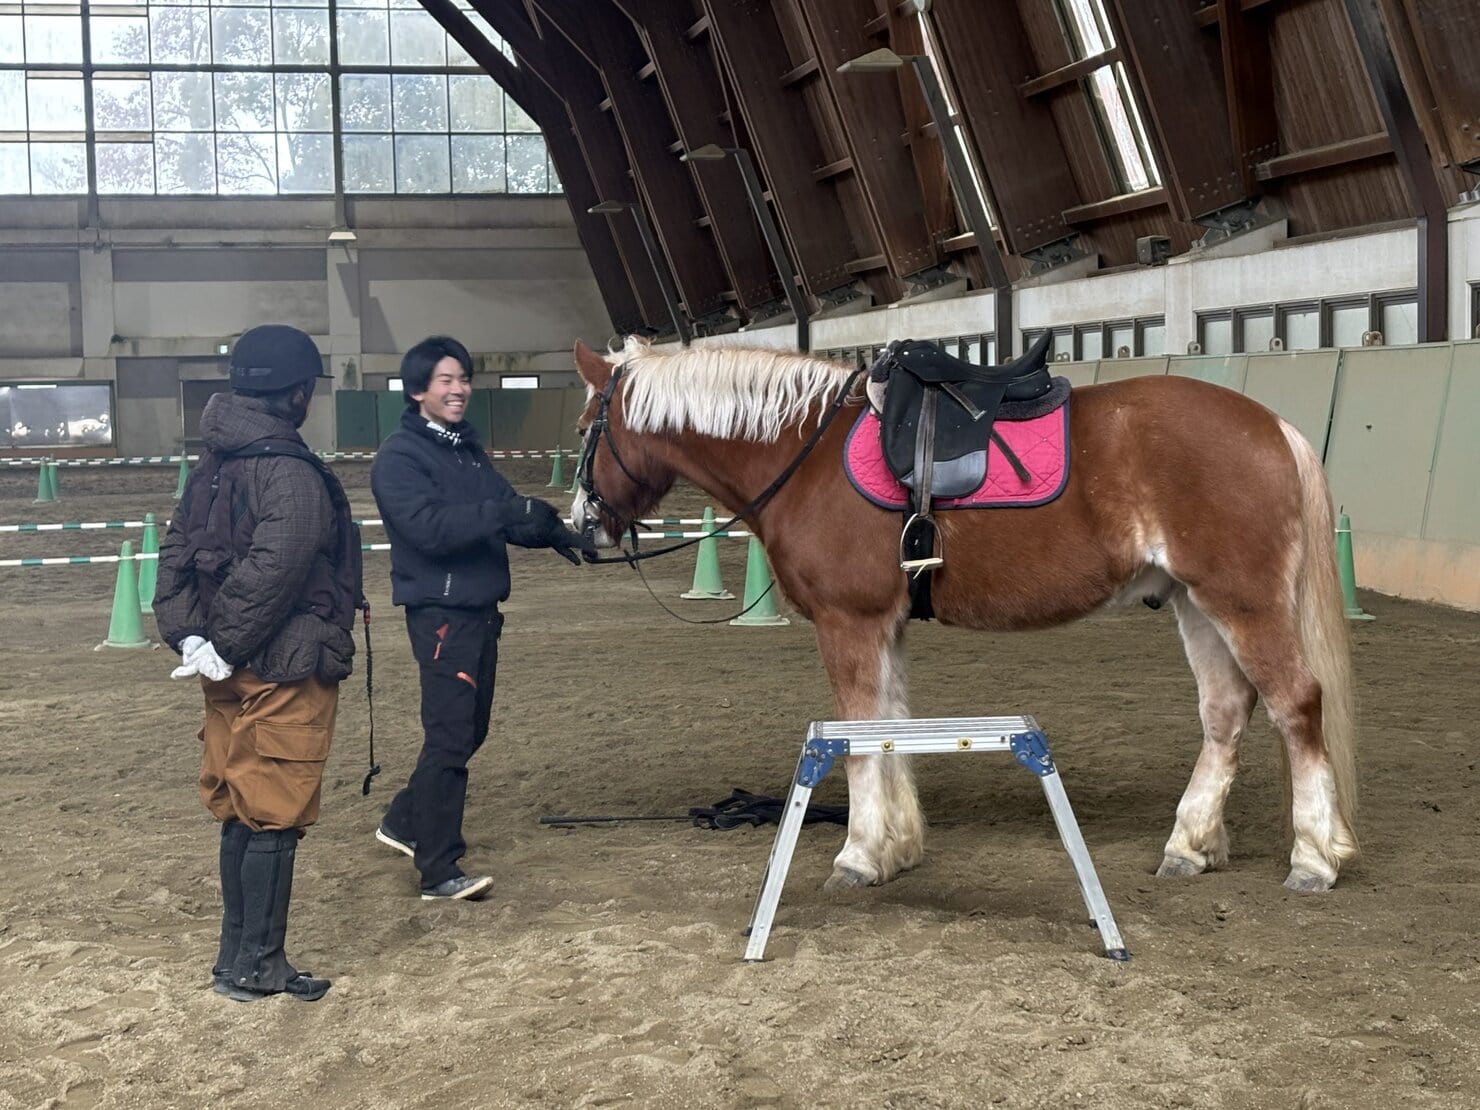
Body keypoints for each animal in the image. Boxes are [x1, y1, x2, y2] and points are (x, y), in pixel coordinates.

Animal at [569, 336, 1358, 894]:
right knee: (1226, 712)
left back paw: (1314, 857)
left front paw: (858, 855)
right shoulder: (881, 627)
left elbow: (858, 737)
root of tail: (1272, 426)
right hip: (1195, 603)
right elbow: (888, 728)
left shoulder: (848, 622)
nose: (581, 528)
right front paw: (898, 849)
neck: (805, 455)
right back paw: (1190, 846)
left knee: (1297, 704)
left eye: (585, 428)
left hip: (1241, 602)